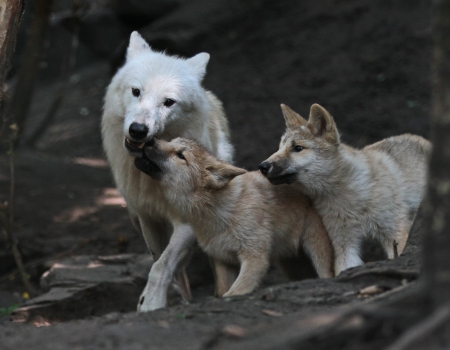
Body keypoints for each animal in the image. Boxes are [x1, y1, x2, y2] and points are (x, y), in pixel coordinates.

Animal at [100, 32, 234, 312]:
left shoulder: (189, 221)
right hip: (133, 217)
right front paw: (167, 297)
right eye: (136, 91)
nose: (138, 130)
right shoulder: (147, 219)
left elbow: (162, 266)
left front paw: (151, 302)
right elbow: (158, 259)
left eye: (168, 102)